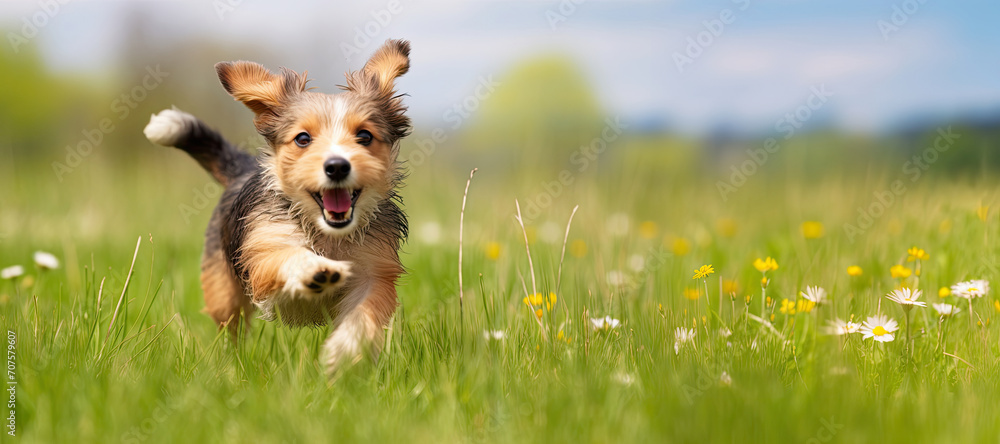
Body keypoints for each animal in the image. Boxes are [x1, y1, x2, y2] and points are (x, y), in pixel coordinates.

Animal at [141, 39, 410, 372]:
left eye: (364, 136)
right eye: (303, 139)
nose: (337, 166)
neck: (327, 235)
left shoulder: (375, 272)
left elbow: (365, 314)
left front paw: (345, 353)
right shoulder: (262, 253)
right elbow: (286, 256)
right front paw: (314, 269)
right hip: (224, 293)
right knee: (231, 329)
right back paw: (231, 365)